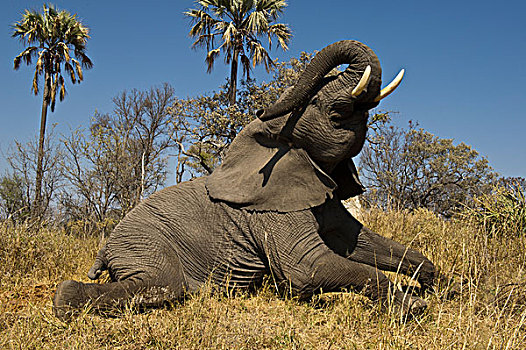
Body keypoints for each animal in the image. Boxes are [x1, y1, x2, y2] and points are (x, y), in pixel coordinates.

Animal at [52, 40, 450, 320]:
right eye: (329, 110)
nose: (260, 106)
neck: (273, 140)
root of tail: (106, 247)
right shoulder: (270, 207)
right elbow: (308, 268)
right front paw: (412, 308)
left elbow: (359, 241)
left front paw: (437, 287)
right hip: (145, 242)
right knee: (162, 284)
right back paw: (64, 300)